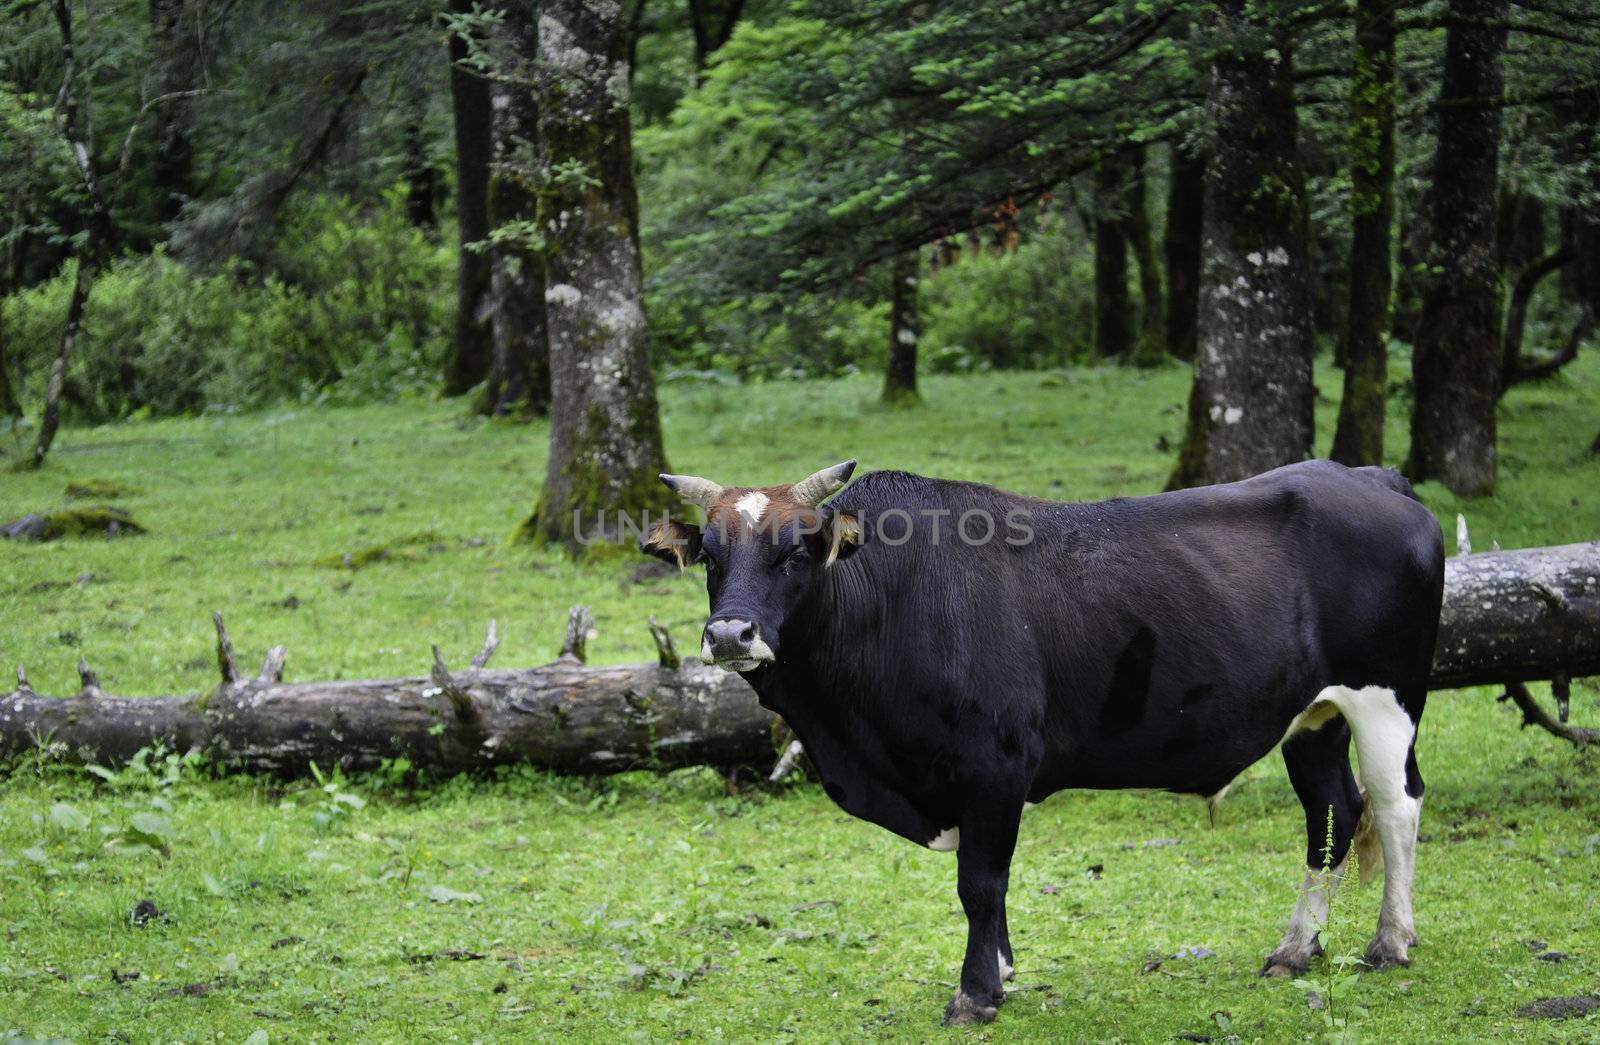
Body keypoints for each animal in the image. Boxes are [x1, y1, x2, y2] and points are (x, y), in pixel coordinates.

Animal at [636, 457, 1452, 1024]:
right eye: (710, 556)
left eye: (796, 551)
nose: (729, 634)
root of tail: (1367, 475)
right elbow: (985, 889)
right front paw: (1001, 974)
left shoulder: (994, 764)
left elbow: (979, 883)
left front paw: (974, 994)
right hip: (1311, 718)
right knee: (1334, 815)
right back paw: (1295, 949)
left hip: (1386, 697)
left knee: (1397, 805)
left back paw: (1391, 941)